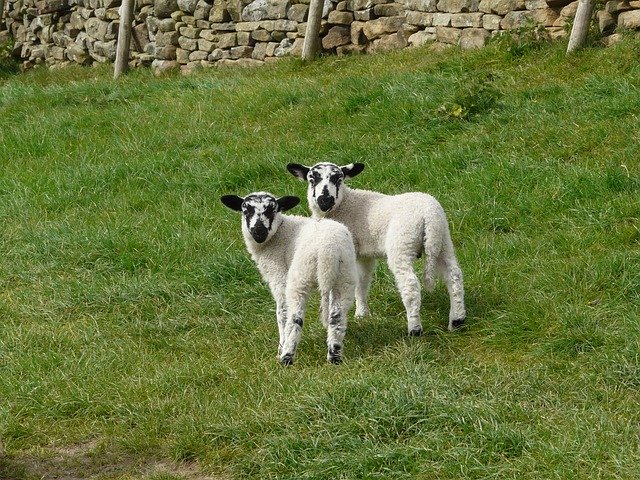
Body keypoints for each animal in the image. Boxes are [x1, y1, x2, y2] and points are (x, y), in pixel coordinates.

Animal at [221, 191, 358, 364]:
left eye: (272, 210)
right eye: (246, 211)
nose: (259, 232)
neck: (279, 233)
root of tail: (328, 251)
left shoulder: (278, 275)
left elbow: (282, 313)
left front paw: (280, 347)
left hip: (300, 277)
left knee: (295, 318)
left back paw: (286, 357)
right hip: (345, 277)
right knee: (337, 317)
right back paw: (334, 356)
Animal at [286, 163, 464, 336]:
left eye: (339, 179)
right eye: (312, 179)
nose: (325, 201)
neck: (344, 204)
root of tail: (429, 216)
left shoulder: (347, 252)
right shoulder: (364, 255)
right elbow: (362, 281)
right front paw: (362, 314)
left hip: (403, 242)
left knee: (410, 285)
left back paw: (414, 329)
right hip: (443, 241)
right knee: (454, 275)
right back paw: (457, 321)